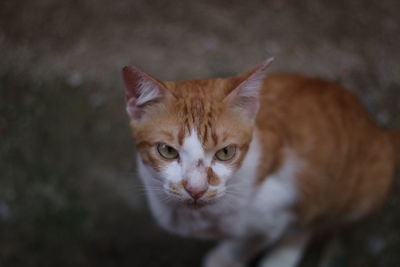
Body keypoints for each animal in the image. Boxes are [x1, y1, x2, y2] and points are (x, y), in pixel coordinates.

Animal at [122, 59, 400, 267]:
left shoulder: (279, 208)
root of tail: (380, 130)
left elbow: (247, 243)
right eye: (167, 151)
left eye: (225, 153)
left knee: (317, 221)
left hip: (361, 190)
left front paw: (225, 259)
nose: (196, 189)